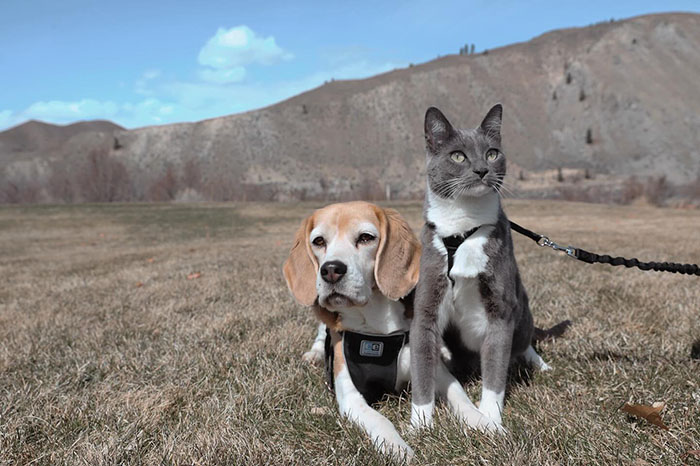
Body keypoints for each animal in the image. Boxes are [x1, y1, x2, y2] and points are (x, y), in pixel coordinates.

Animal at [284, 202, 498, 460]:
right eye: (318, 241)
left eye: (366, 237)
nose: (331, 270)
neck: (377, 329)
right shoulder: (350, 397)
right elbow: (380, 420)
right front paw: (398, 448)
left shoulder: (436, 372)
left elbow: (461, 397)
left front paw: (482, 422)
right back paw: (314, 354)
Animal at [410, 104, 552, 432]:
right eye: (457, 156)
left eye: (491, 153)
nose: (481, 169)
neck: (463, 228)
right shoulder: (428, 295)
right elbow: (422, 363)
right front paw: (420, 424)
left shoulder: (501, 305)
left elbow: (496, 368)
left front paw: (490, 419)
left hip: (522, 308)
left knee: (524, 340)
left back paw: (539, 363)